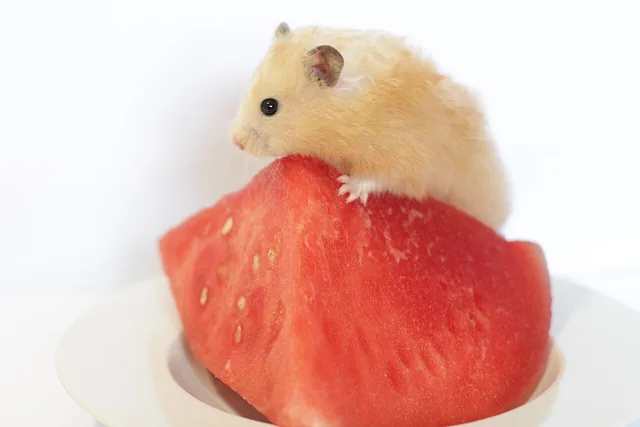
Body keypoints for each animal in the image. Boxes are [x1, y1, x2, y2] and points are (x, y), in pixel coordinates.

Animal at [230, 22, 511, 230]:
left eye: (269, 106)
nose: (236, 143)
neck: (343, 113)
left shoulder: (401, 155)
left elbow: (378, 178)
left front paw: (346, 188)